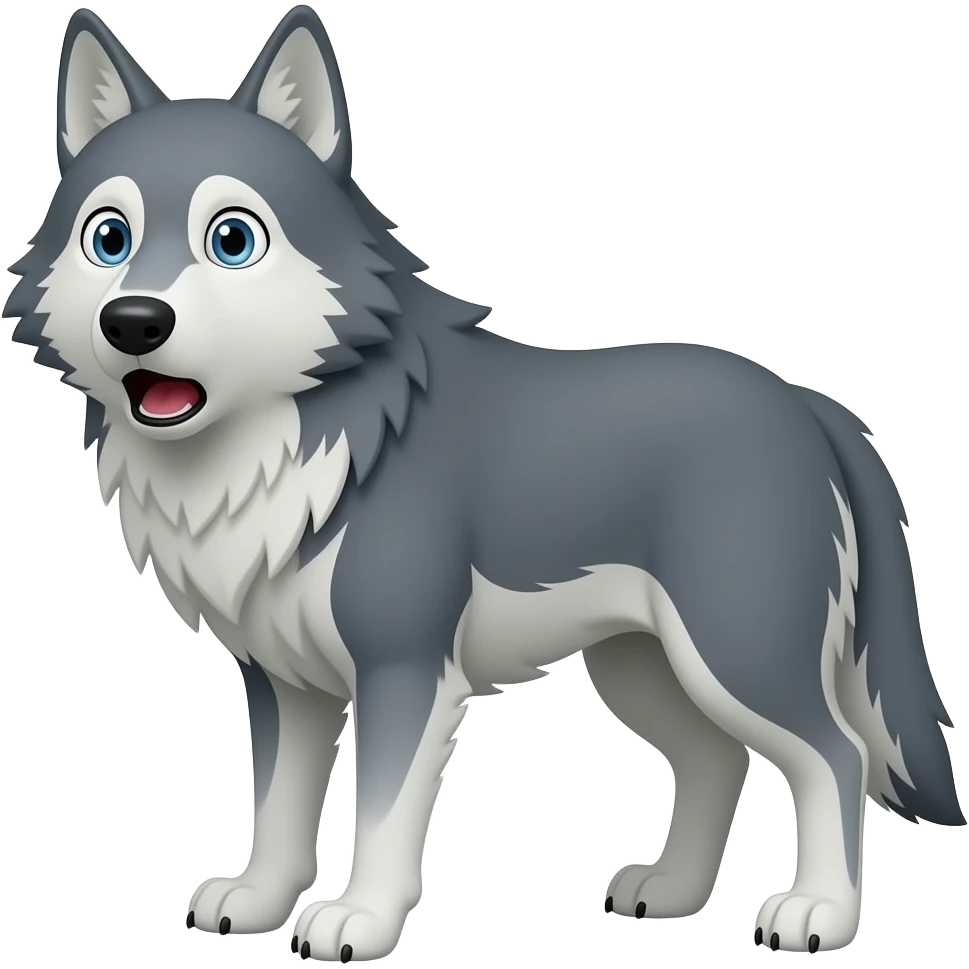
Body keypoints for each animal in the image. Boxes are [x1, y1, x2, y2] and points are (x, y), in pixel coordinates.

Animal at [3, 4, 962, 961]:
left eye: (231, 239)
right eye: (109, 238)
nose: (133, 321)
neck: (290, 445)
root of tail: (807, 402)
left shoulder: (405, 669)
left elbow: (381, 813)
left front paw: (358, 919)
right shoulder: (283, 682)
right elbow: (275, 805)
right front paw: (258, 899)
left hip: (734, 649)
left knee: (832, 753)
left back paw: (818, 911)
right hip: (643, 666)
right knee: (715, 758)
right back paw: (672, 890)